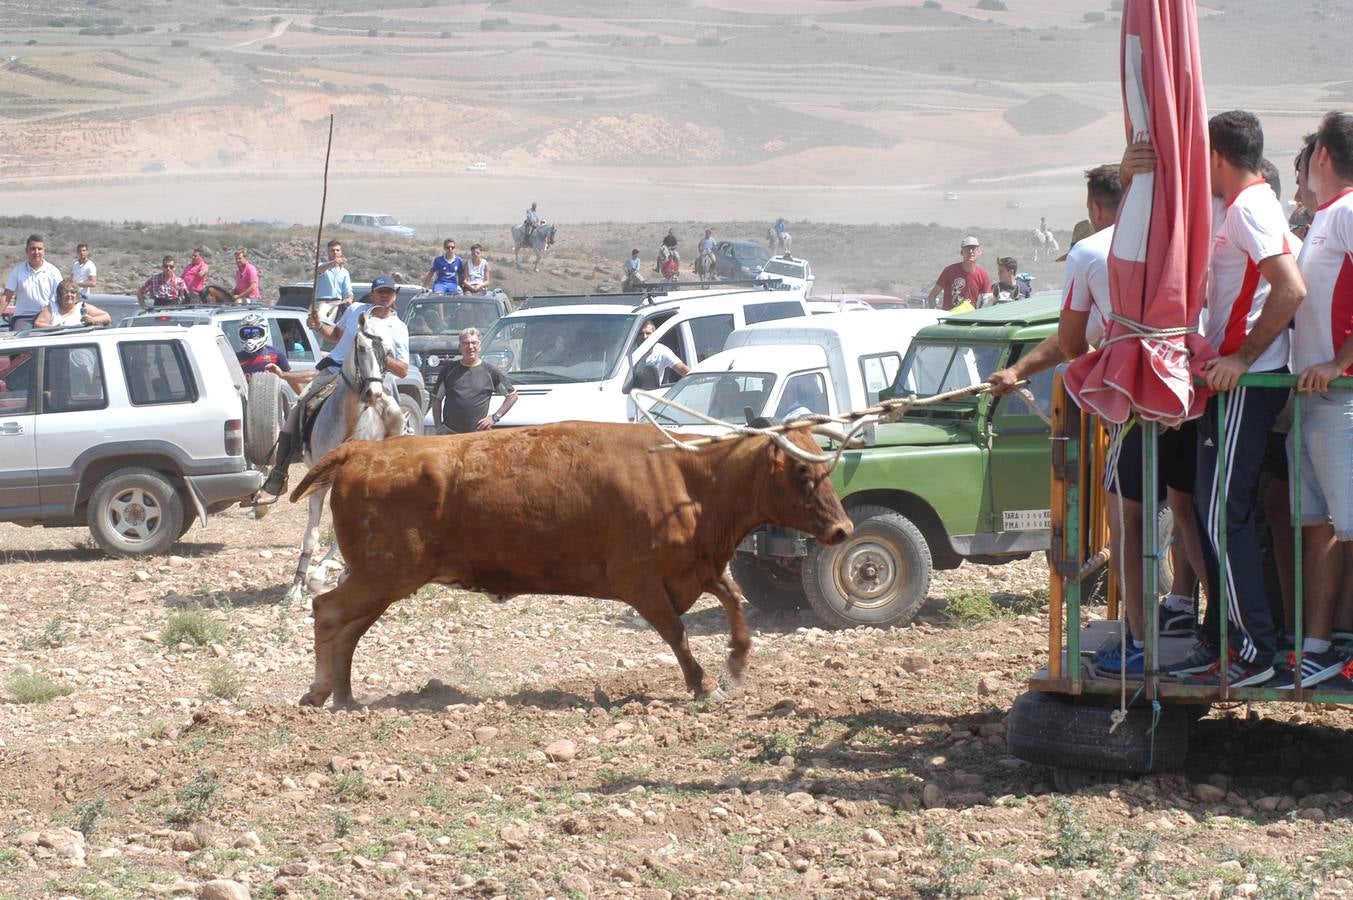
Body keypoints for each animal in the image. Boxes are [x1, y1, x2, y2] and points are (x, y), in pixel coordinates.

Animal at [285, 312, 400, 600]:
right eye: (362, 348)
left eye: (388, 353)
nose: (374, 394)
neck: (350, 422)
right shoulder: (318, 484)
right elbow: (312, 535)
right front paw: (297, 585)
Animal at [290, 422, 849, 709]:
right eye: (802, 472)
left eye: (828, 467)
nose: (843, 530)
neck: (687, 475)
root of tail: (364, 451)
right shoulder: (640, 581)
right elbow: (677, 631)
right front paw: (702, 682)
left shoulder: (694, 567)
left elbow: (731, 597)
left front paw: (738, 658)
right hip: (384, 576)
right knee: (329, 612)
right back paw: (321, 691)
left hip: (380, 581)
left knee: (349, 627)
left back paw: (344, 694)